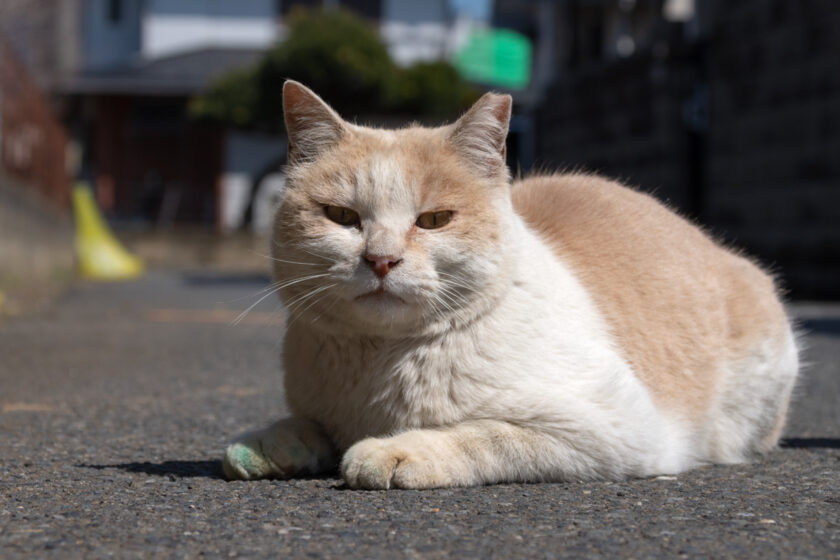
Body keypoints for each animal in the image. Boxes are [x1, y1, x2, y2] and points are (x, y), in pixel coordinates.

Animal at [223, 81, 800, 488]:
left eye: (434, 221)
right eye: (341, 216)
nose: (381, 259)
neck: (379, 369)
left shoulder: (614, 429)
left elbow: (484, 435)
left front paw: (395, 450)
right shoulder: (318, 405)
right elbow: (303, 424)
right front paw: (266, 446)